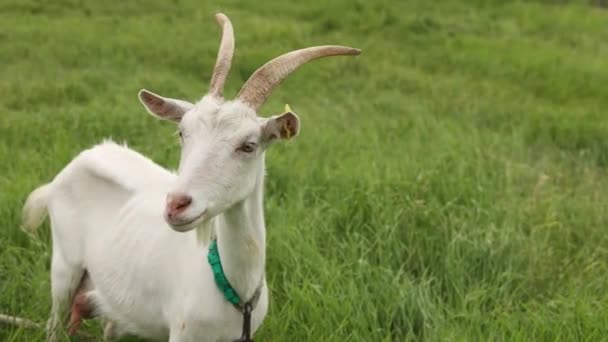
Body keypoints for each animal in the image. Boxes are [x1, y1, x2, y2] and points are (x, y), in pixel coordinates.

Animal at [21, 12, 358, 340]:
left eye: (249, 146)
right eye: (182, 132)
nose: (176, 205)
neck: (237, 289)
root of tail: (78, 162)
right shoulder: (183, 333)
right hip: (64, 267)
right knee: (54, 321)